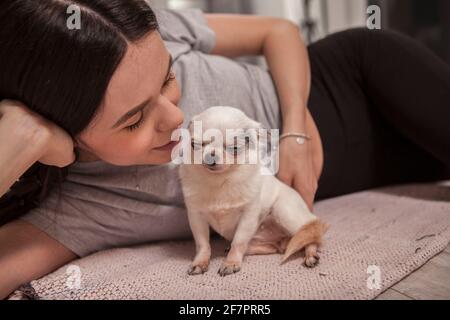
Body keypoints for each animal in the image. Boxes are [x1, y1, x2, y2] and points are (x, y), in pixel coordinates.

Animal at [178, 106, 328, 276]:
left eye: (235, 148)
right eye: (195, 144)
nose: (211, 156)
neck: (220, 180)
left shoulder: (247, 216)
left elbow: (238, 241)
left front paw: (231, 263)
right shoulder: (197, 217)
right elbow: (203, 244)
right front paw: (200, 262)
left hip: (284, 212)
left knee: (311, 235)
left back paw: (310, 254)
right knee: (271, 247)